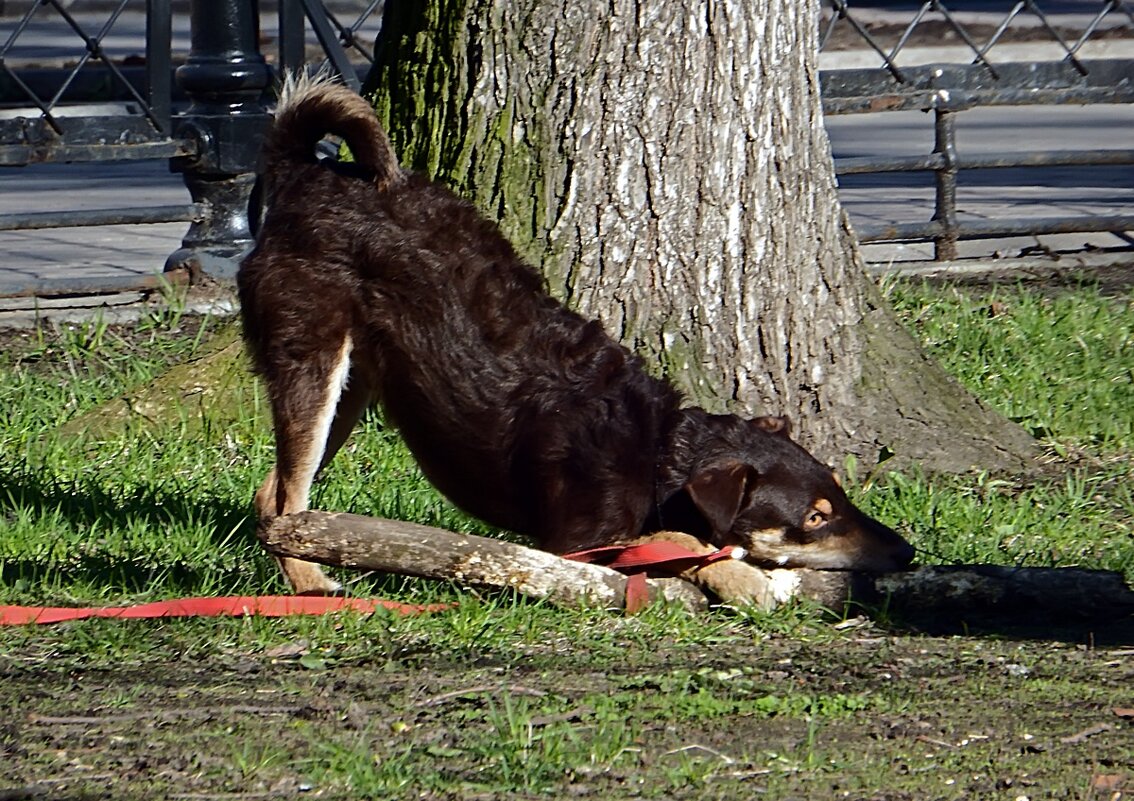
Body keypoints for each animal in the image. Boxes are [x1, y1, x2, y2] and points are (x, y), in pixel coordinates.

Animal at [239, 74, 911, 594]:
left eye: (841, 496)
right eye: (815, 519)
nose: (908, 552)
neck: (659, 450)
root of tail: (304, 173)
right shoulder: (576, 546)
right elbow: (678, 542)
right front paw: (744, 577)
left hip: (353, 388)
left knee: (275, 492)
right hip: (312, 365)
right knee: (283, 502)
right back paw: (312, 586)